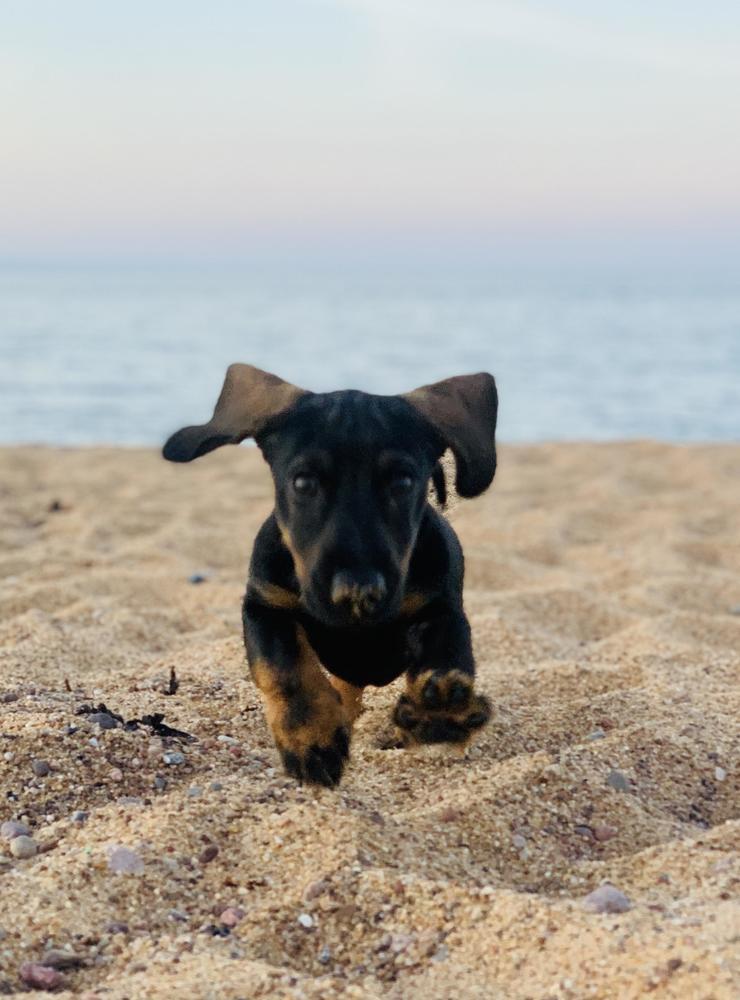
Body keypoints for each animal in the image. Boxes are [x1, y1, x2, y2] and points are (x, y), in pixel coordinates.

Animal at [162, 364, 498, 784]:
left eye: (403, 482)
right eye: (303, 482)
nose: (357, 592)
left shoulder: (440, 609)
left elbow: (445, 655)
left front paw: (440, 712)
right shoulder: (264, 605)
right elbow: (285, 670)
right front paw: (312, 739)